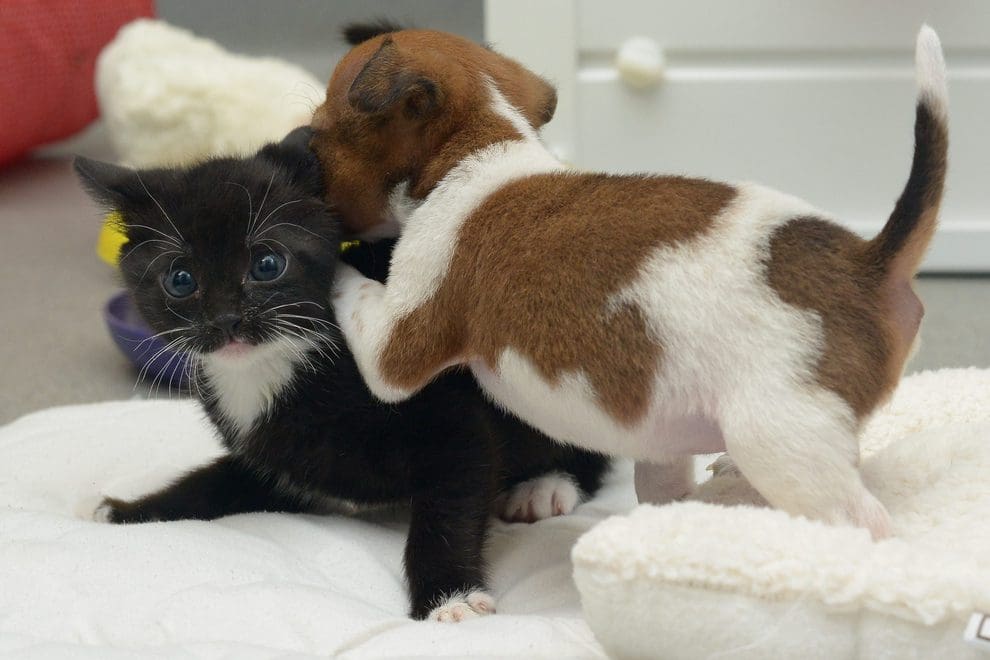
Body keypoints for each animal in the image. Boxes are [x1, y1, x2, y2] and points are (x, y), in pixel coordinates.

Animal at [70, 129, 608, 624]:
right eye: (180, 279)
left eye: (267, 263)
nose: (226, 321)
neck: (272, 368)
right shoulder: (276, 457)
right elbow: (210, 485)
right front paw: (124, 511)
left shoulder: (451, 418)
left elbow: (451, 503)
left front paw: (448, 598)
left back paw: (547, 485)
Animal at [314, 28, 948, 560]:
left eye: (317, 134)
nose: (298, 144)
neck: (476, 150)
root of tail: (871, 263)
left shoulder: (396, 342)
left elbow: (358, 299)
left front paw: (327, 256)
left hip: (784, 443)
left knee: (861, 522)